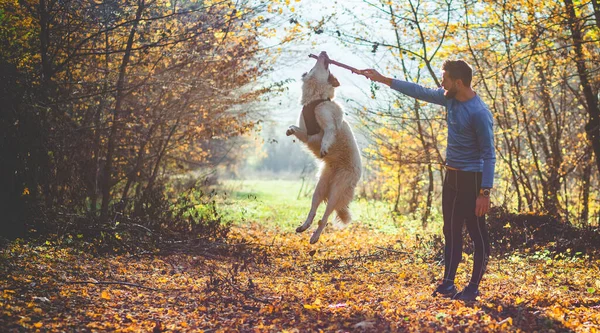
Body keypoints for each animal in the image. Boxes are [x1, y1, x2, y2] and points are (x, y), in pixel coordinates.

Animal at [284, 50, 360, 243]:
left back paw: (315, 236)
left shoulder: (327, 124)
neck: (316, 99)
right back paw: (304, 227)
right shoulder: (308, 134)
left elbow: (327, 135)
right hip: (319, 188)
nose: (324, 52)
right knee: (313, 211)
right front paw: (290, 130)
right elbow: (298, 130)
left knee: (325, 216)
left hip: (336, 192)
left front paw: (325, 147)